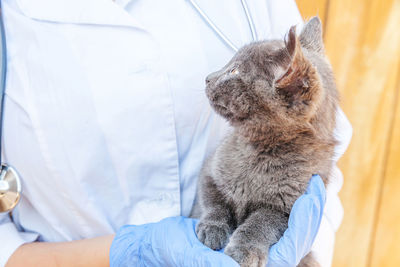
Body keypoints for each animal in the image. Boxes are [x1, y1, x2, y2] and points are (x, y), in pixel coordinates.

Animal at [194, 17, 338, 267]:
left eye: (234, 70)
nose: (209, 77)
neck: (258, 153)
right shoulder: (210, 170)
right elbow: (214, 202)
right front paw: (212, 228)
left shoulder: (286, 206)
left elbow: (261, 223)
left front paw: (244, 249)